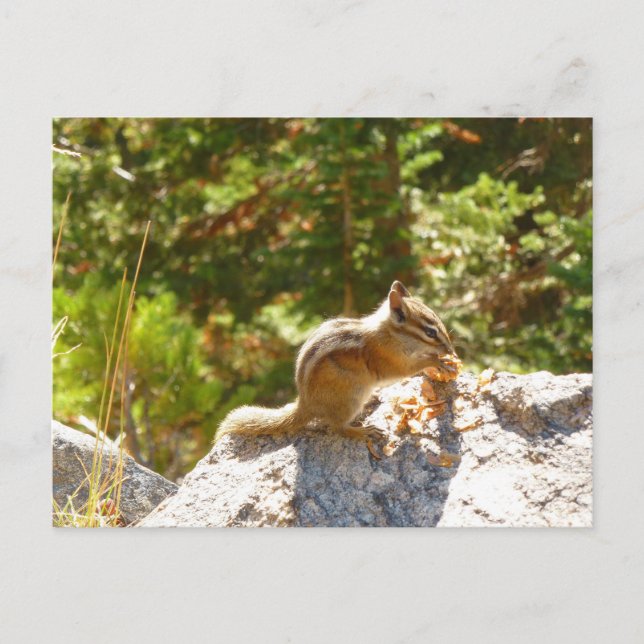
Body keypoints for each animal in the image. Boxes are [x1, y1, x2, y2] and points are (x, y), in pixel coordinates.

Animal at [216, 280, 457, 442]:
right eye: (430, 332)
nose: (450, 349)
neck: (390, 333)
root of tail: (305, 404)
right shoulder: (390, 360)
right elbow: (411, 367)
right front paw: (436, 361)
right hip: (350, 397)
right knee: (337, 427)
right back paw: (362, 431)